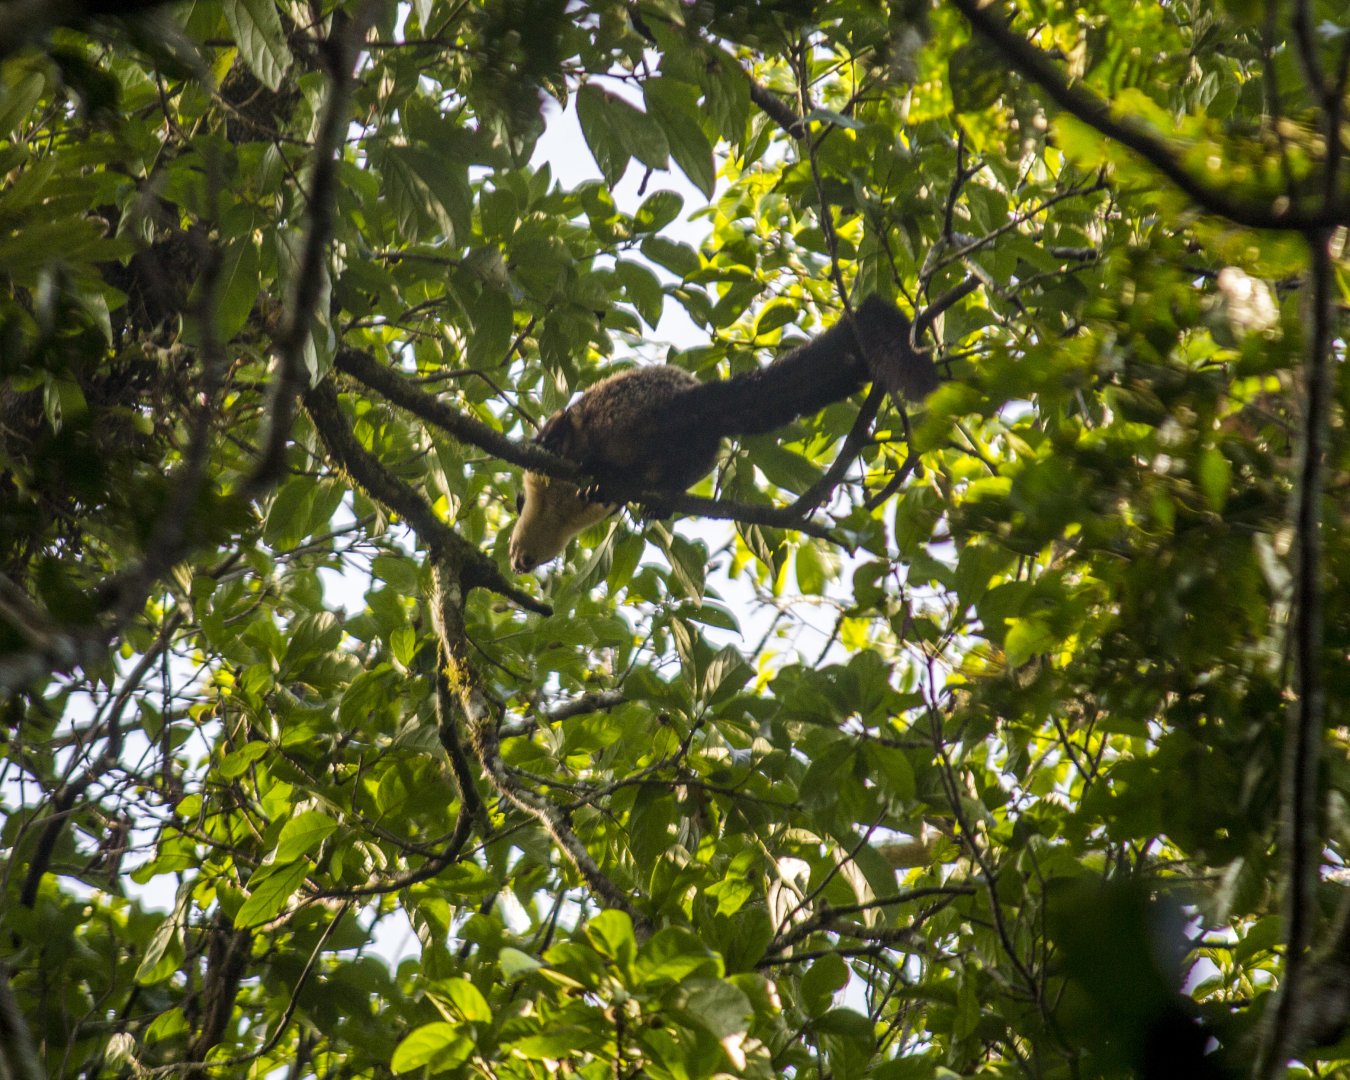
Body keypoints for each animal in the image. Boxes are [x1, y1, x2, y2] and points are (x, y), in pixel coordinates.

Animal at [508, 295, 936, 573]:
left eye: (514, 548)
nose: (517, 565)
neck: (559, 514)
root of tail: (699, 400)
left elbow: (559, 426)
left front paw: (553, 446)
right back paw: (655, 495)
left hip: (632, 411)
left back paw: (605, 470)